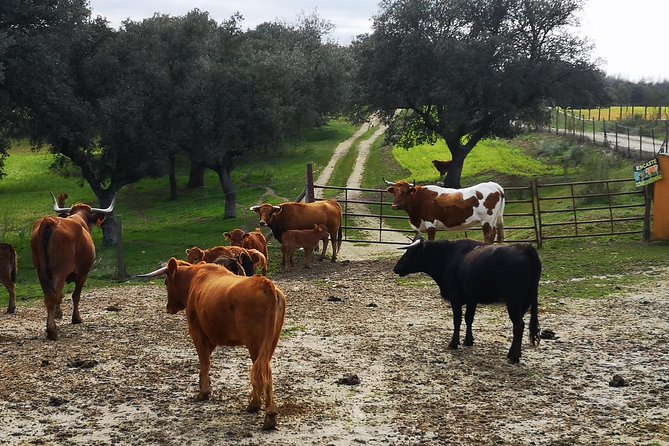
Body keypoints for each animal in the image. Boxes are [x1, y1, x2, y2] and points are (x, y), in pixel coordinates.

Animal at [30, 191, 115, 338]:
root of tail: (50, 221)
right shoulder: (82, 274)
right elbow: (76, 296)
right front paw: (76, 318)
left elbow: (61, 295)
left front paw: (58, 314)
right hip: (60, 270)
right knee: (53, 296)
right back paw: (52, 331)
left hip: (41, 271)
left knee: (50, 295)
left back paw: (50, 326)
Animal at [138, 260, 284, 430]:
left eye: (166, 282)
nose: (169, 307)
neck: (194, 279)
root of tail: (265, 284)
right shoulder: (212, 336)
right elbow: (207, 359)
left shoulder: (196, 331)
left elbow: (204, 361)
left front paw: (203, 392)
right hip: (269, 343)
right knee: (264, 370)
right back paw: (259, 408)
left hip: (255, 343)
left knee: (262, 372)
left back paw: (263, 412)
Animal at [394, 237, 540, 362]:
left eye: (410, 252)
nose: (396, 268)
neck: (449, 257)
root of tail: (524, 248)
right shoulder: (471, 300)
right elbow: (469, 319)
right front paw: (468, 341)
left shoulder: (455, 299)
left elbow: (457, 320)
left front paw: (453, 343)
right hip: (524, 303)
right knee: (518, 326)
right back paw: (512, 353)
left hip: (513, 302)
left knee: (519, 325)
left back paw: (514, 357)